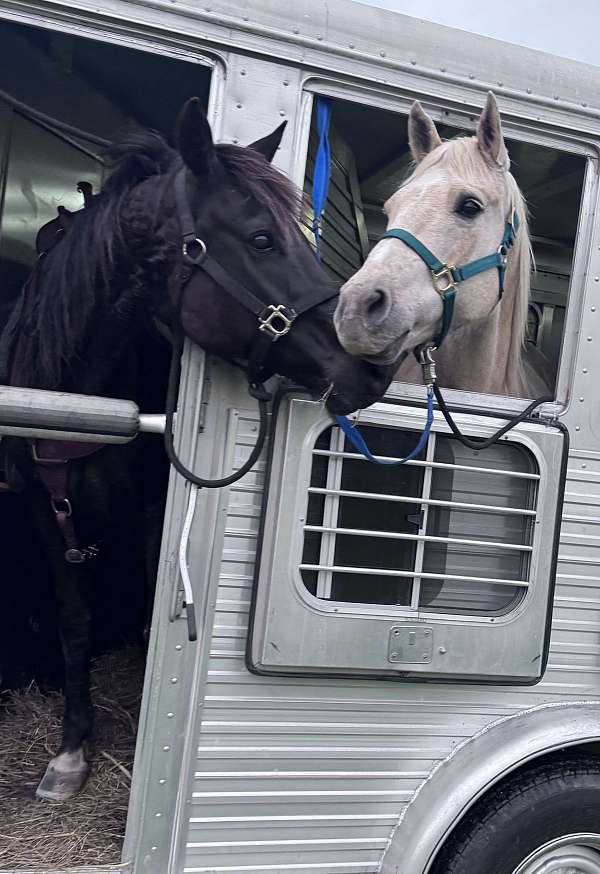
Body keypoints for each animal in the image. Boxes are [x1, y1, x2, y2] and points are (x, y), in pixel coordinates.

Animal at [0, 97, 394, 801]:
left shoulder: (150, 518)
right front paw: (72, 752)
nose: (371, 361)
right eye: (262, 239)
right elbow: (75, 622)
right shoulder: (47, 518)